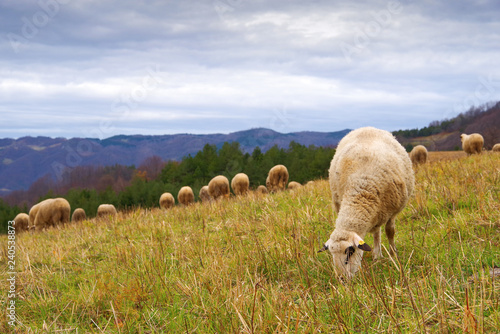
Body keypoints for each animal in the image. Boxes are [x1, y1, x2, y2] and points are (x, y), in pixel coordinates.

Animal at [318, 127, 416, 280]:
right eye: (332, 254)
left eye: (350, 252)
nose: (341, 279)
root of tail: (366, 128)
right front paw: (377, 254)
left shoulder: (392, 210)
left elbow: (390, 231)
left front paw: (393, 254)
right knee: (376, 231)